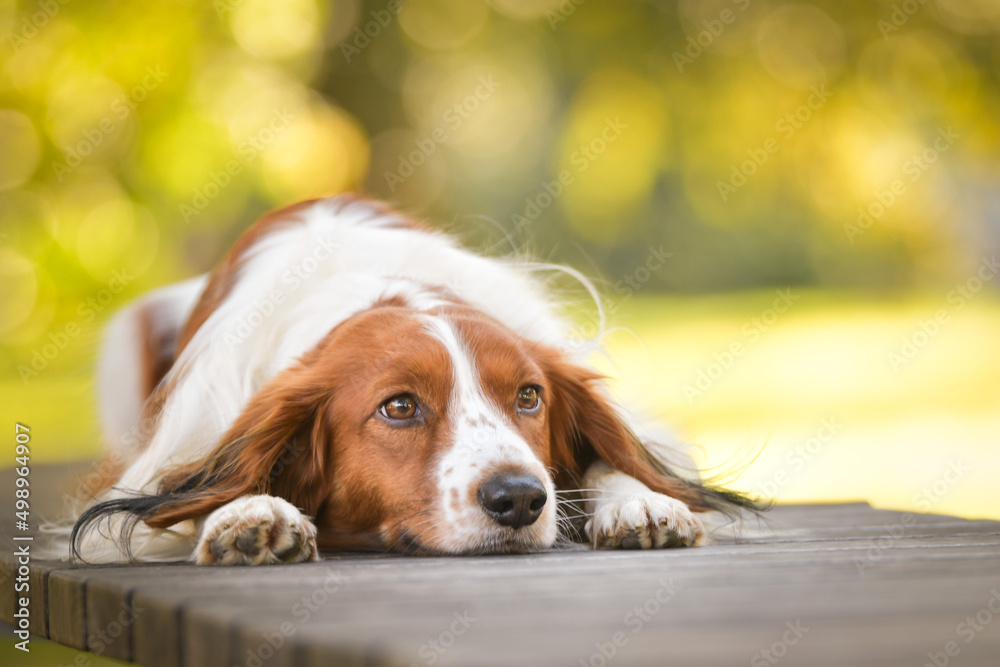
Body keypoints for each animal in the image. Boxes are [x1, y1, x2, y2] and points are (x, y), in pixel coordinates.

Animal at [68, 196, 756, 568]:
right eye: (399, 407)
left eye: (528, 396)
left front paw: (637, 500)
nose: (519, 499)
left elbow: (617, 460)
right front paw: (247, 512)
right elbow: (198, 487)